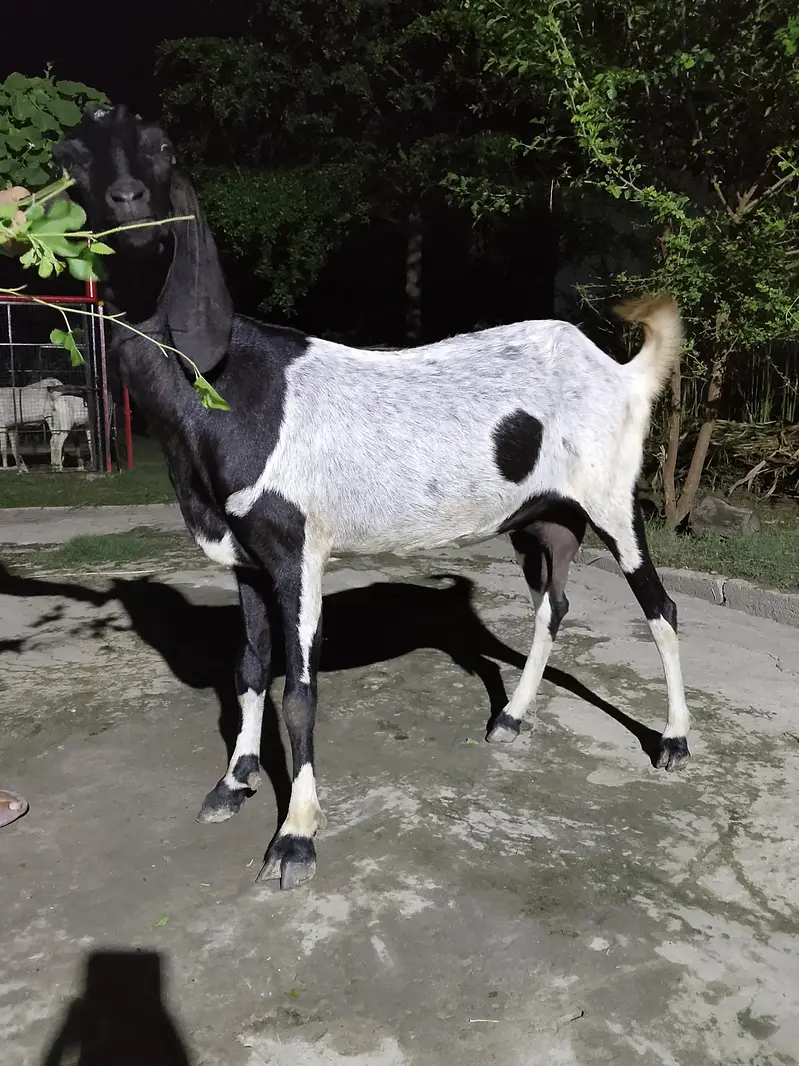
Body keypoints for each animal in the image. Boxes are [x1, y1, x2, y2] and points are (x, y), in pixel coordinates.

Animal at [55, 106, 691, 891]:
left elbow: (299, 689)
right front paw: (232, 783)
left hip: (610, 499)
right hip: (542, 520)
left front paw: (295, 837)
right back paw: (511, 717)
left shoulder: (296, 550)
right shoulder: (245, 559)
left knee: (660, 609)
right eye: (71, 156)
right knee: (553, 603)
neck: (229, 385)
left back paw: (673, 741)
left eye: (165, 148)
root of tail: (621, 372)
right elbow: (247, 669)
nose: (130, 206)